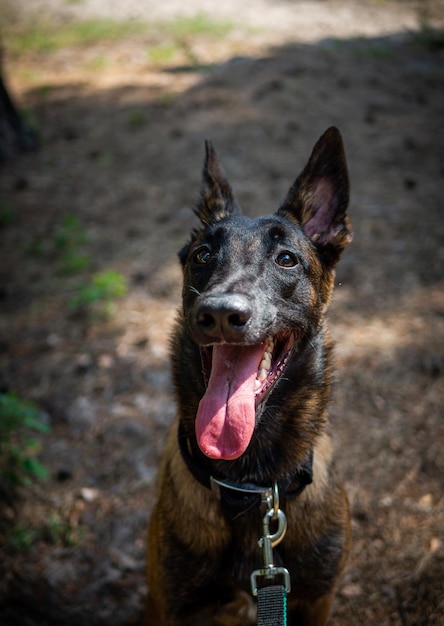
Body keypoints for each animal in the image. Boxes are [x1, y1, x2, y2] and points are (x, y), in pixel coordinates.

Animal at [147, 128, 352, 624]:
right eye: (203, 254)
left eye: (286, 259)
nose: (221, 313)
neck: (250, 488)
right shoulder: (173, 607)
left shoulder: (317, 599)